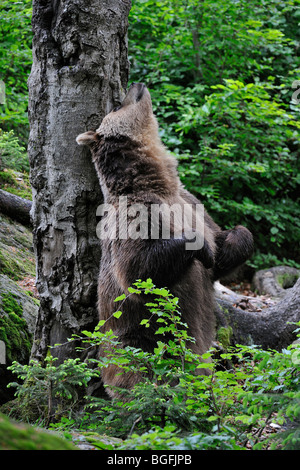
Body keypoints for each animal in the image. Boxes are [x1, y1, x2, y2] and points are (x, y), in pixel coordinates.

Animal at [75, 82, 253, 394]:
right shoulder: (135, 217)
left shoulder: (191, 204)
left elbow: (222, 249)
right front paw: (202, 249)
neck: (157, 182)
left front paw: (233, 241)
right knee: (140, 370)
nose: (136, 84)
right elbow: (137, 271)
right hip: (137, 337)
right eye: (116, 105)